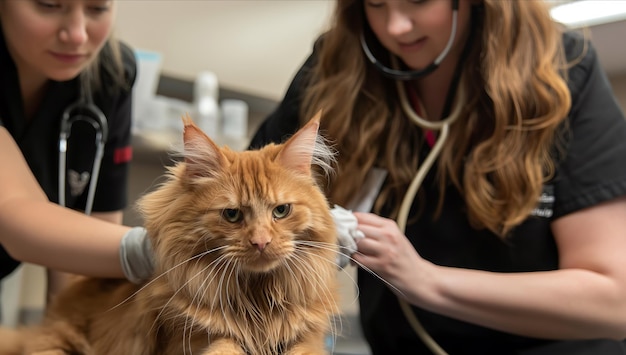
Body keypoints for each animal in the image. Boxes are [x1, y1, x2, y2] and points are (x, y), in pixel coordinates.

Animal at [1, 113, 342, 355]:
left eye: (281, 211)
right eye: (232, 215)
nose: (261, 242)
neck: (256, 299)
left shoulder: (307, 338)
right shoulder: (190, 338)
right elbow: (225, 346)